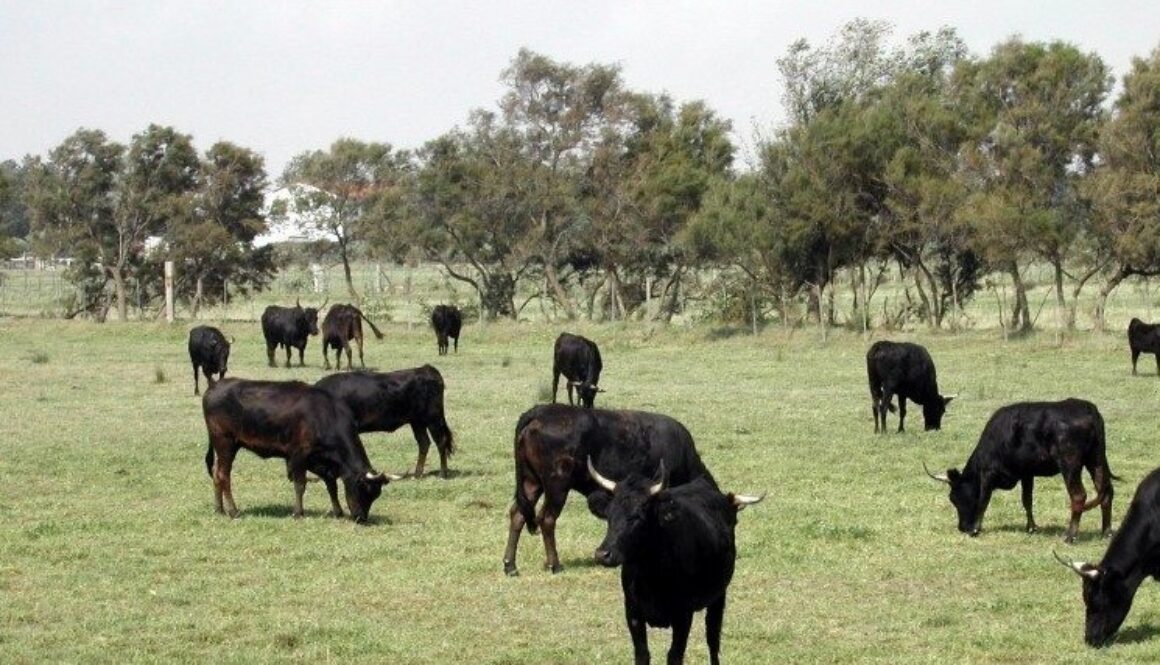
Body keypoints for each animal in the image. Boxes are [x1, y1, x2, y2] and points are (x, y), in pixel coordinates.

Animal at [202, 377, 398, 522]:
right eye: (363, 488)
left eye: (376, 495)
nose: (361, 518)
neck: (324, 415)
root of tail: (214, 386)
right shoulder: (298, 455)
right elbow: (300, 484)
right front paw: (298, 513)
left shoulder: (318, 460)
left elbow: (331, 483)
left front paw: (338, 511)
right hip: (225, 442)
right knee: (223, 475)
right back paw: (233, 511)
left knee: (216, 473)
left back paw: (219, 509)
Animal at [316, 365, 456, 478]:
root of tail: (426, 369)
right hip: (417, 421)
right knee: (424, 442)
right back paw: (417, 474)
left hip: (433, 418)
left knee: (440, 441)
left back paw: (443, 474)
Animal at [502, 403, 717, 576]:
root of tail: (538, 412)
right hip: (557, 487)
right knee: (547, 519)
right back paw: (555, 565)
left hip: (531, 482)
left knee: (518, 514)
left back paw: (510, 566)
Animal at [588, 460, 763, 665]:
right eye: (609, 515)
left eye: (638, 516)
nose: (602, 554)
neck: (651, 576)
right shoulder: (632, 612)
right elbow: (642, 654)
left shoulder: (683, 615)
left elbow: (674, 655)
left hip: (719, 596)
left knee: (713, 640)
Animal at [924, 398, 1114, 543]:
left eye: (955, 498)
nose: (962, 528)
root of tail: (1086, 408)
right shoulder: (1026, 473)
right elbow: (1027, 500)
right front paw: (1031, 527)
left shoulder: (988, 473)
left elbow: (983, 500)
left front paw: (976, 530)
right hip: (1097, 459)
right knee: (1106, 492)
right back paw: (1106, 532)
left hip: (1070, 464)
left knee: (1079, 495)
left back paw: (1070, 536)